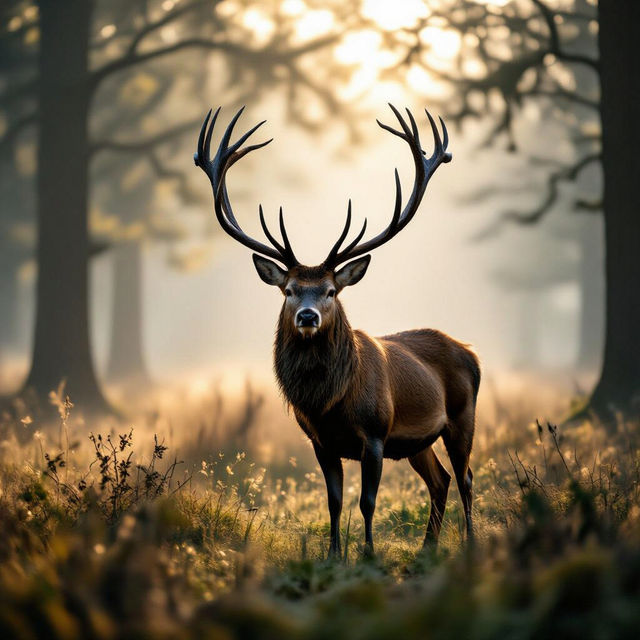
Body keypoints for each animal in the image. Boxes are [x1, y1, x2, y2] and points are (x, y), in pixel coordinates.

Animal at [194, 105, 480, 556]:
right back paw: (427, 548)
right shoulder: (320, 441)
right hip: (418, 440)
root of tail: (472, 353)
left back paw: (469, 541)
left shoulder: (376, 434)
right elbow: (333, 501)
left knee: (466, 477)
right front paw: (334, 556)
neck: (329, 402)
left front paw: (368, 554)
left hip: (462, 416)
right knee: (441, 480)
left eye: (330, 290)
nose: (308, 317)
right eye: (289, 290)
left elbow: (367, 502)